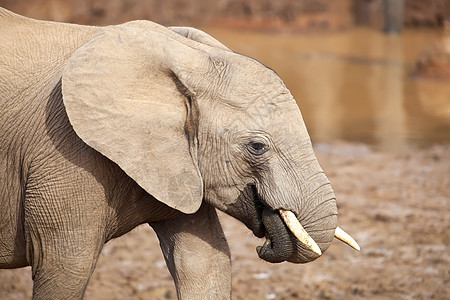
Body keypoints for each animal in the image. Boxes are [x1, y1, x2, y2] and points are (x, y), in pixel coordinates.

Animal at [0, 7, 358, 300]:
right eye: (257, 147)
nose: (265, 241)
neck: (185, 56)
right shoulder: (67, 154)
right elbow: (65, 268)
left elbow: (206, 262)